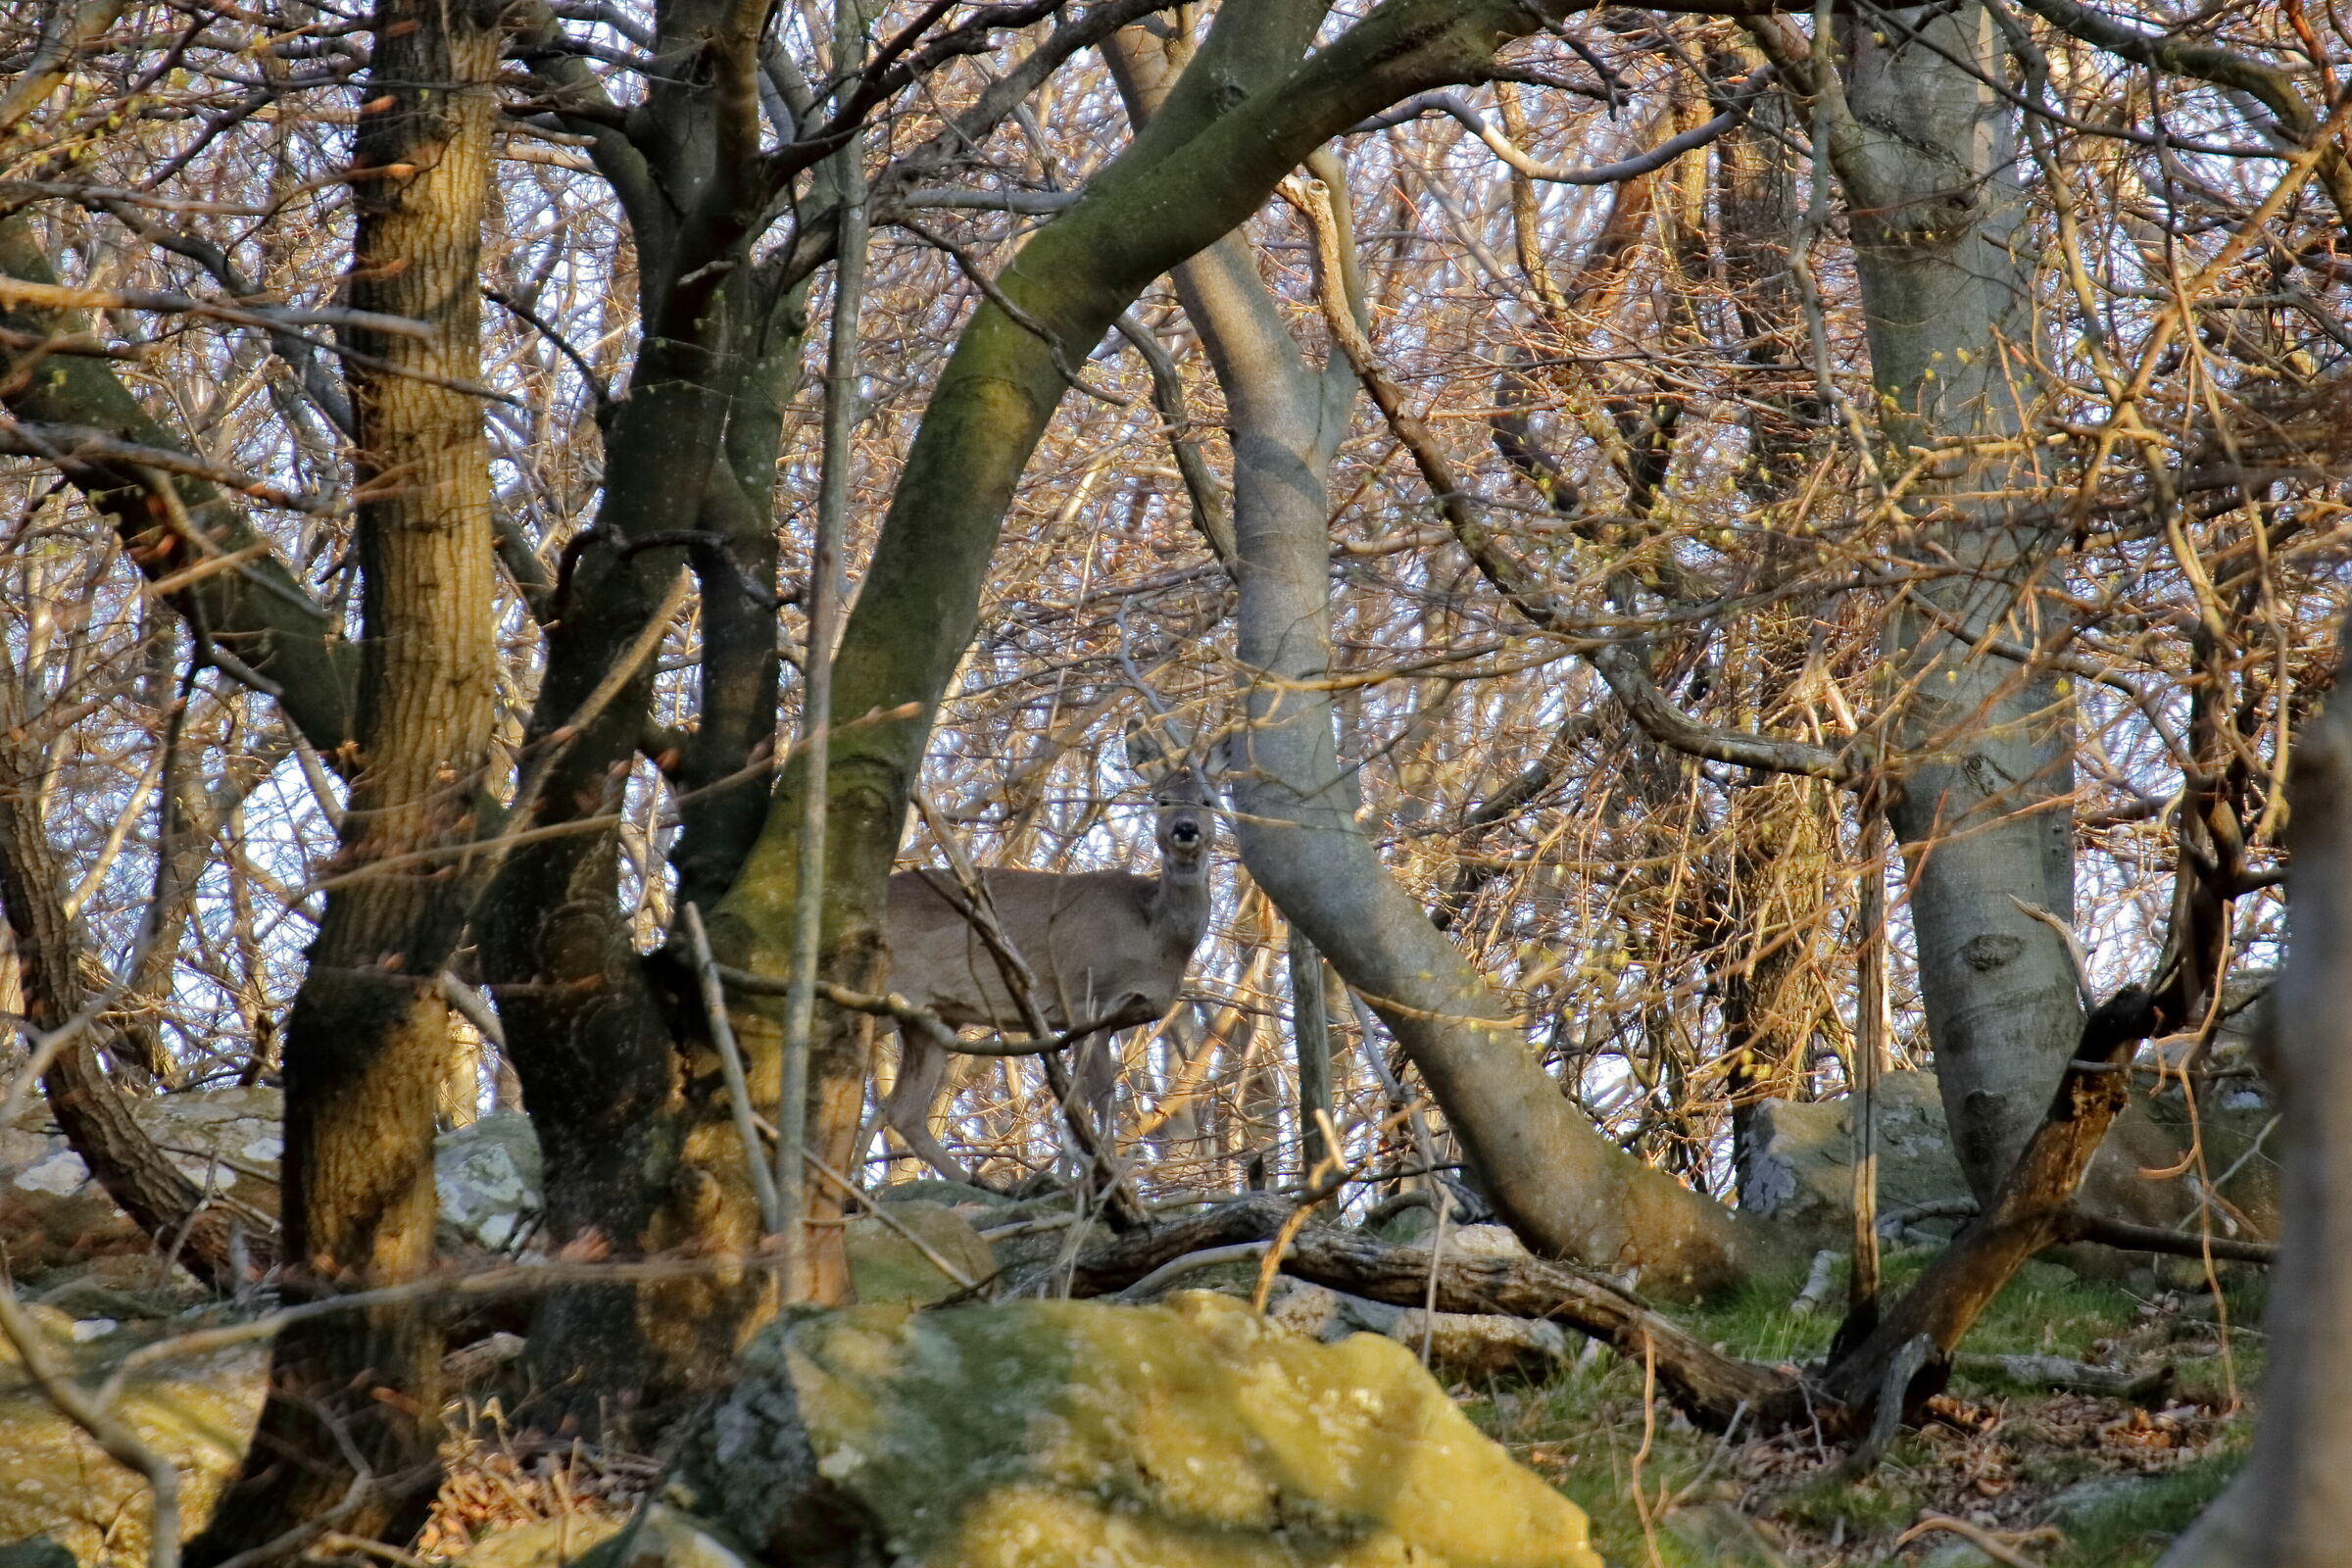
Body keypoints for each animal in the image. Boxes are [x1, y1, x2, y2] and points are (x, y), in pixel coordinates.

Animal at [880, 728, 1217, 1187]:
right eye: (1161, 800)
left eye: (1208, 800)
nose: (1185, 828)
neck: (1154, 935)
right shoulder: (1083, 995)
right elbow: (1099, 1095)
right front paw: (1107, 1173)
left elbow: (1093, 1096)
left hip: (934, 1017)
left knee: (904, 1112)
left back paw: (983, 1184)